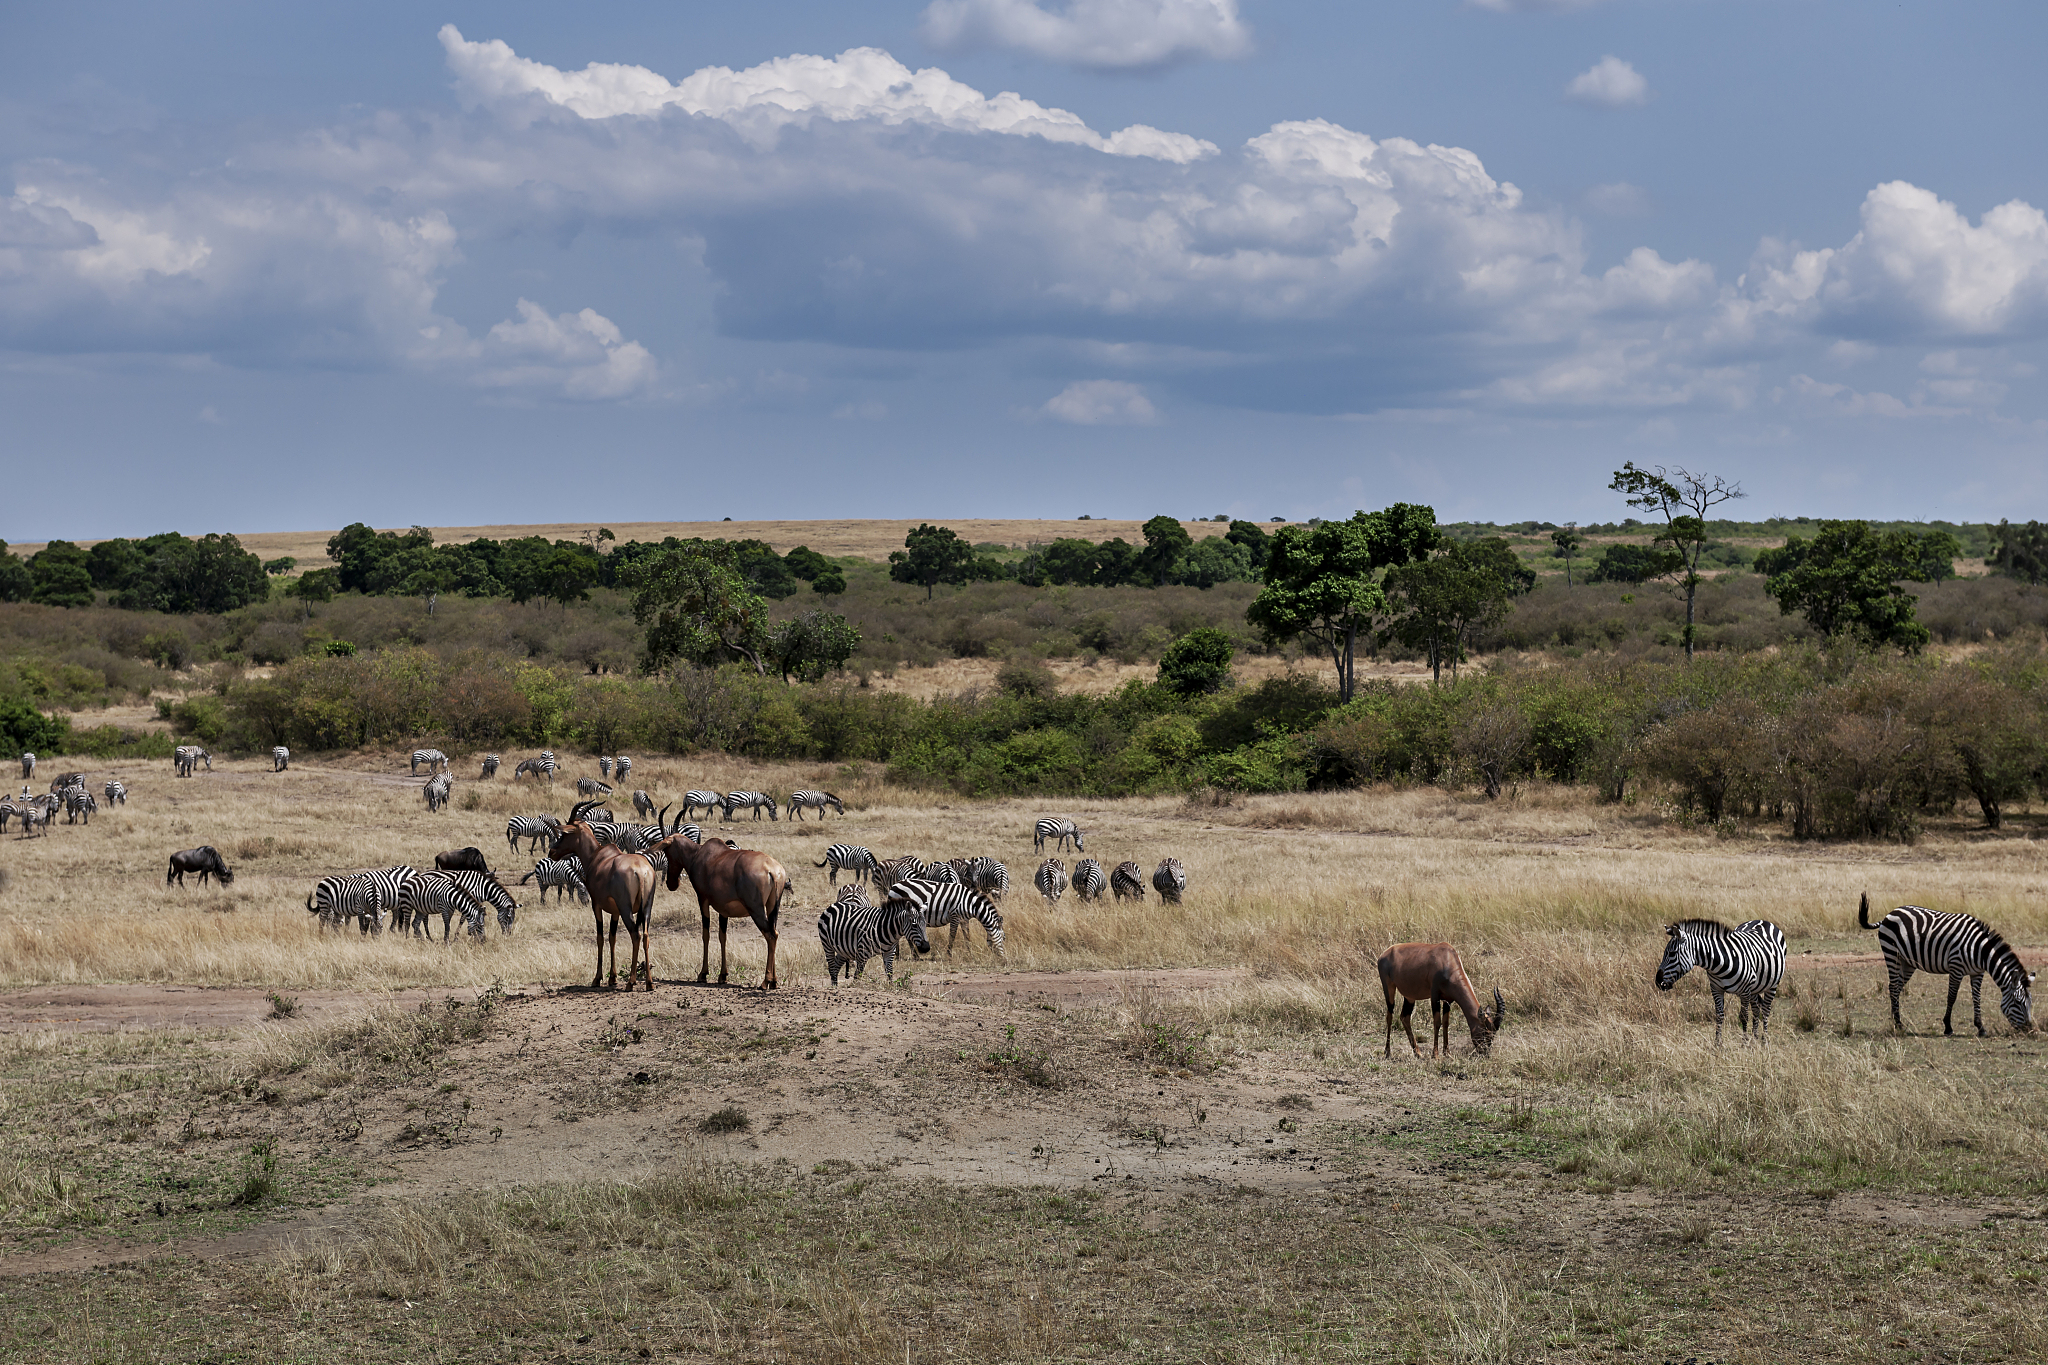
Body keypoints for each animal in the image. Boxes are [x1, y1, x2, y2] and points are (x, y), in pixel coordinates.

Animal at [1655, 918, 1788, 1046]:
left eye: (1672, 953)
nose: (1657, 981)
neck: (1720, 964)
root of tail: (1763, 921)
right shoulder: (1716, 989)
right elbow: (1719, 1015)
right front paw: (1717, 1043)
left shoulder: (1745, 991)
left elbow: (1744, 1017)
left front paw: (1744, 1043)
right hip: (1755, 988)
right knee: (1756, 1009)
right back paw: (1755, 1038)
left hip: (1772, 985)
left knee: (1765, 1010)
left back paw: (1764, 1040)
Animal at [1859, 894, 2036, 1036]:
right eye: (2018, 1002)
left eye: (2030, 1003)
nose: (2029, 1030)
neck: (1980, 951)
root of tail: (1890, 914)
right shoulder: (1956, 968)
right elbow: (1951, 997)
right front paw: (1948, 1027)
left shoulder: (1977, 972)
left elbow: (1976, 998)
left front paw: (1980, 1028)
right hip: (1892, 954)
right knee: (1894, 986)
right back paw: (1898, 1024)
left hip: (1907, 962)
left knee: (1896, 987)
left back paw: (1895, 1020)